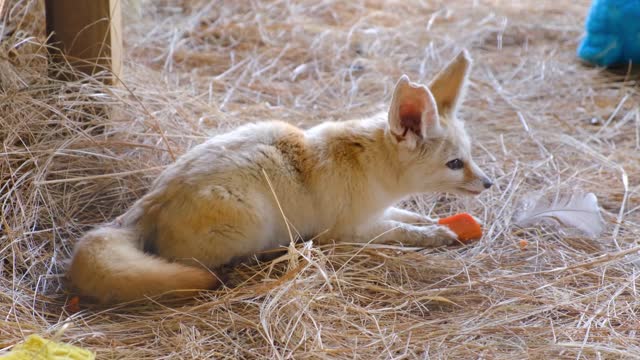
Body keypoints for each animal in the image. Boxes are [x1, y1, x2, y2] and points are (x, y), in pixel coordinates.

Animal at [67, 51, 492, 304]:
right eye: (456, 163)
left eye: (469, 157)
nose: (489, 184)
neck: (369, 162)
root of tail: (148, 203)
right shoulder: (348, 231)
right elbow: (403, 232)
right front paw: (437, 234)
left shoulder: (377, 212)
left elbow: (409, 216)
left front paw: (433, 221)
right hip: (251, 222)